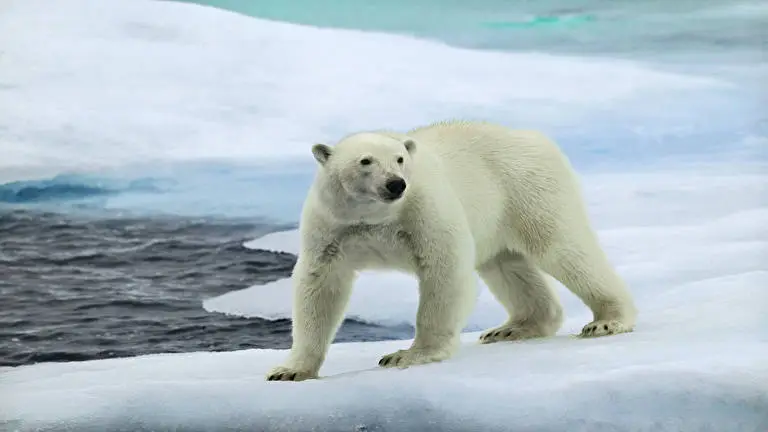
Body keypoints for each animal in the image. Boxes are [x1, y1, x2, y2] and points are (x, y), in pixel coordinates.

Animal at [266, 120, 637, 382]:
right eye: (365, 161)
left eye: (400, 159)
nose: (395, 184)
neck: (376, 217)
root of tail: (533, 137)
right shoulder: (333, 227)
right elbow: (320, 286)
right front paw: (289, 370)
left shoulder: (423, 209)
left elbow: (444, 268)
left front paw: (407, 355)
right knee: (506, 266)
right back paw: (512, 328)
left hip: (528, 190)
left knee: (563, 248)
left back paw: (607, 321)